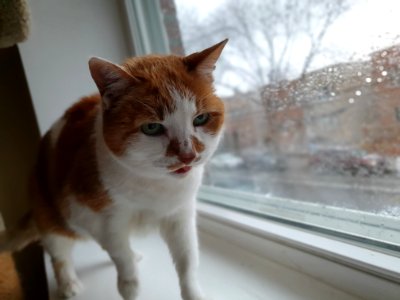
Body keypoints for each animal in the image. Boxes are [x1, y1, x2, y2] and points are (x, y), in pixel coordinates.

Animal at [0, 39, 228, 300]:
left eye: (200, 119)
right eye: (152, 127)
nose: (188, 155)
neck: (154, 185)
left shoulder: (180, 216)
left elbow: (187, 261)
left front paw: (192, 292)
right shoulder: (90, 215)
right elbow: (119, 251)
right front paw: (129, 285)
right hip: (50, 216)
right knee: (60, 255)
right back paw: (69, 285)